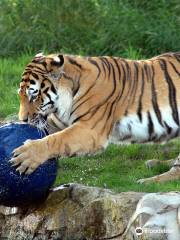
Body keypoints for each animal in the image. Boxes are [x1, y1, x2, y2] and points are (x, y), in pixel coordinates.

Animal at [10, 52, 180, 184]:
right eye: (20, 95)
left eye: (34, 96)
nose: (23, 119)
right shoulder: (57, 122)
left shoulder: (90, 130)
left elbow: (57, 139)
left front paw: (27, 155)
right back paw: (154, 163)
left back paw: (148, 181)